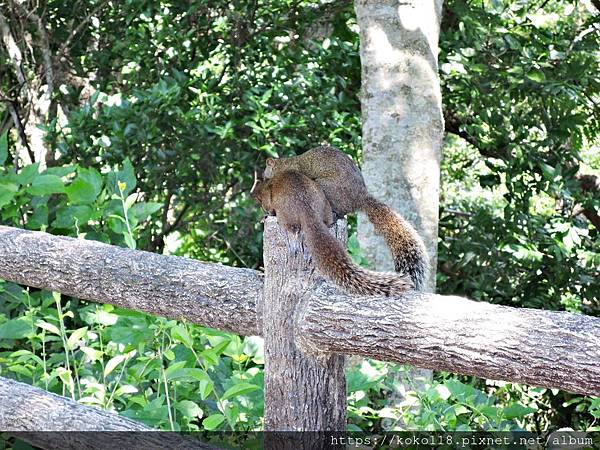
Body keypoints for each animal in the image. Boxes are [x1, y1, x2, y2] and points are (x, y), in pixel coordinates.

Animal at [250, 171, 412, 298]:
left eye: (258, 198)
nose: (253, 197)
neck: (269, 183)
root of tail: (307, 209)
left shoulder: (268, 200)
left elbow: (270, 208)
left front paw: (266, 215)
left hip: (286, 215)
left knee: (294, 231)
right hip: (324, 205)